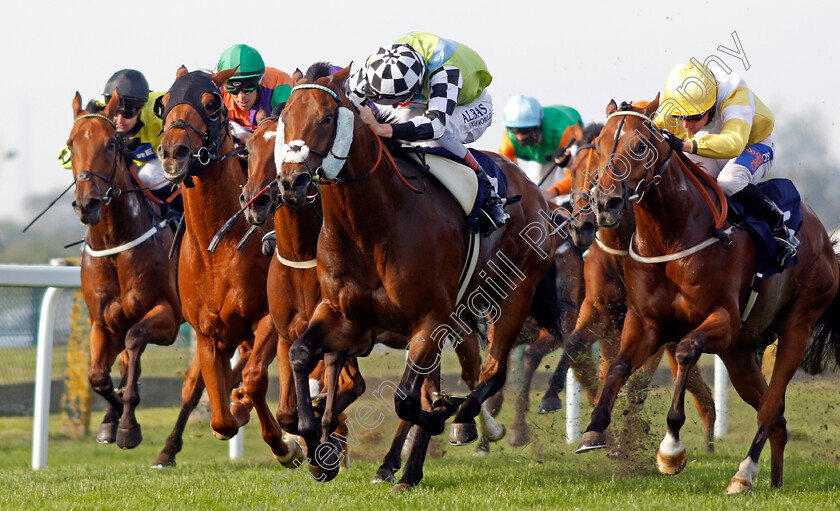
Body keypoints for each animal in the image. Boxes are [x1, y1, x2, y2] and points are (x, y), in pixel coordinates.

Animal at [67, 92, 182, 448]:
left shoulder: (169, 316)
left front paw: (129, 424)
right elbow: (97, 376)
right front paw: (112, 419)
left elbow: (136, 338)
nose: (86, 204)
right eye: (71, 144)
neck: (116, 243)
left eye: (109, 144)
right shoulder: (102, 322)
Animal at [156, 66, 300, 466]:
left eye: (210, 103)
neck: (217, 249)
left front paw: (286, 446)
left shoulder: (268, 319)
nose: (173, 152)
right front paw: (232, 412)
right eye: (165, 102)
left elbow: (253, 380)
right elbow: (220, 416)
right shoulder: (208, 334)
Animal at [278, 68, 564, 488]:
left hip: (514, 295)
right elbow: (301, 355)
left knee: (494, 372)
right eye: (284, 118)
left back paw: (461, 424)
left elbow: (407, 400)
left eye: (326, 118)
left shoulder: (428, 318)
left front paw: (441, 417)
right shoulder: (344, 317)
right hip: (460, 315)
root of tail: (537, 194)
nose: (292, 182)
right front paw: (317, 449)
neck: (370, 225)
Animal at [576, 98, 840, 494]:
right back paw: (773, 481)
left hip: (797, 325)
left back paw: (743, 474)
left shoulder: (723, 320)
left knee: (770, 406)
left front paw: (671, 450)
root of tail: (824, 238)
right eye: (599, 146)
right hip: (740, 354)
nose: (605, 203)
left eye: (639, 145)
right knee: (776, 417)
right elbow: (620, 366)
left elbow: (687, 351)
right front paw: (594, 430)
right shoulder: (646, 322)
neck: (670, 237)